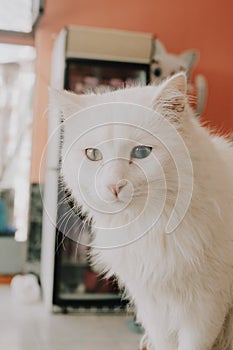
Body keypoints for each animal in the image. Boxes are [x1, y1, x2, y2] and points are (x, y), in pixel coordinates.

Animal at [52, 72, 233, 348]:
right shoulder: (154, 309)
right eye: (93, 154)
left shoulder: (206, 309)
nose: (113, 185)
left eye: (140, 153)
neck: (150, 226)